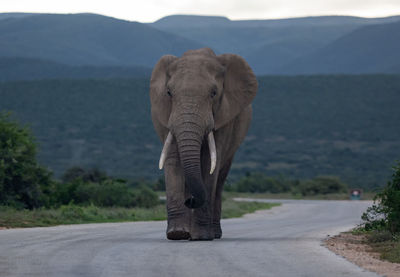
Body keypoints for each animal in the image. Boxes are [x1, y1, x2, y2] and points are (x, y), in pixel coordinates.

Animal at [149, 48, 256, 239]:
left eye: (213, 93)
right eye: (169, 93)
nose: (189, 200)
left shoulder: (224, 118)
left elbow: (209, 163)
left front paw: (201, 237)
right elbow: (173, 160)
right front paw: (177, 234)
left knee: (219, 180)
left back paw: (214, 234)